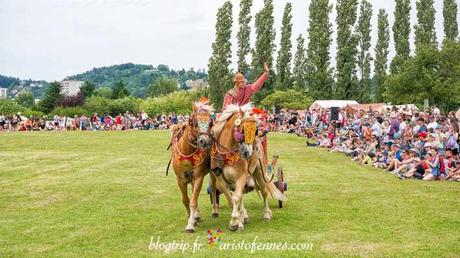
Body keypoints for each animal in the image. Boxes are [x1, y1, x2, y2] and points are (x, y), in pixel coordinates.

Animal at [169, 101, 216, 234]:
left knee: (213, 189)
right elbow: (186, 200)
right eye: (194, 123)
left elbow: (193, 201)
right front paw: (193, 217)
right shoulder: (180, 179)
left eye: (210, 123)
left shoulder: (198, 177)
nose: (204, 141)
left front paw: (190, 224)